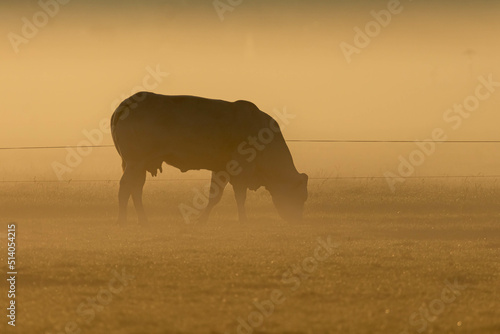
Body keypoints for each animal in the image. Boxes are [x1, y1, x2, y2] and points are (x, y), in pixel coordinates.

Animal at [111, 92, 308, 224]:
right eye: (302, 197)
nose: (298, 221)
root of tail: (129, 101)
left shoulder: (221, 168)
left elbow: (215, 196)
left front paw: (202, 219)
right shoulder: (241, 170)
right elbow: (240, 196)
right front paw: (243, 220)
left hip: (137, 165)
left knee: (136, 189)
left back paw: (143, 220)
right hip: (135, 163)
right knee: (126, 187)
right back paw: (122, 221)